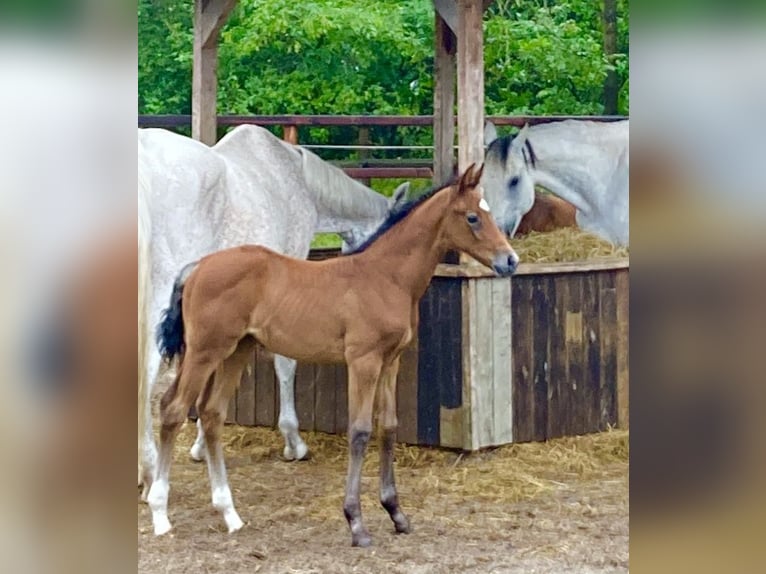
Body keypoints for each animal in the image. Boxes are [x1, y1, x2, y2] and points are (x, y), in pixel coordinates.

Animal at [147, 163, 520, 548]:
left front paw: (396, 513)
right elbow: (359, 431)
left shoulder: (391, 360)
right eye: (473, 217)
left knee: (211, 413)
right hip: (205, 351)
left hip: (236, 350)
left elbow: (388, 426)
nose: (510, 261)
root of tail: (196, 268)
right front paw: (356, 523)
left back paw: (230, 514)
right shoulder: (363, 361)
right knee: (173, 408)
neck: (385, 277)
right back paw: (160, 513)